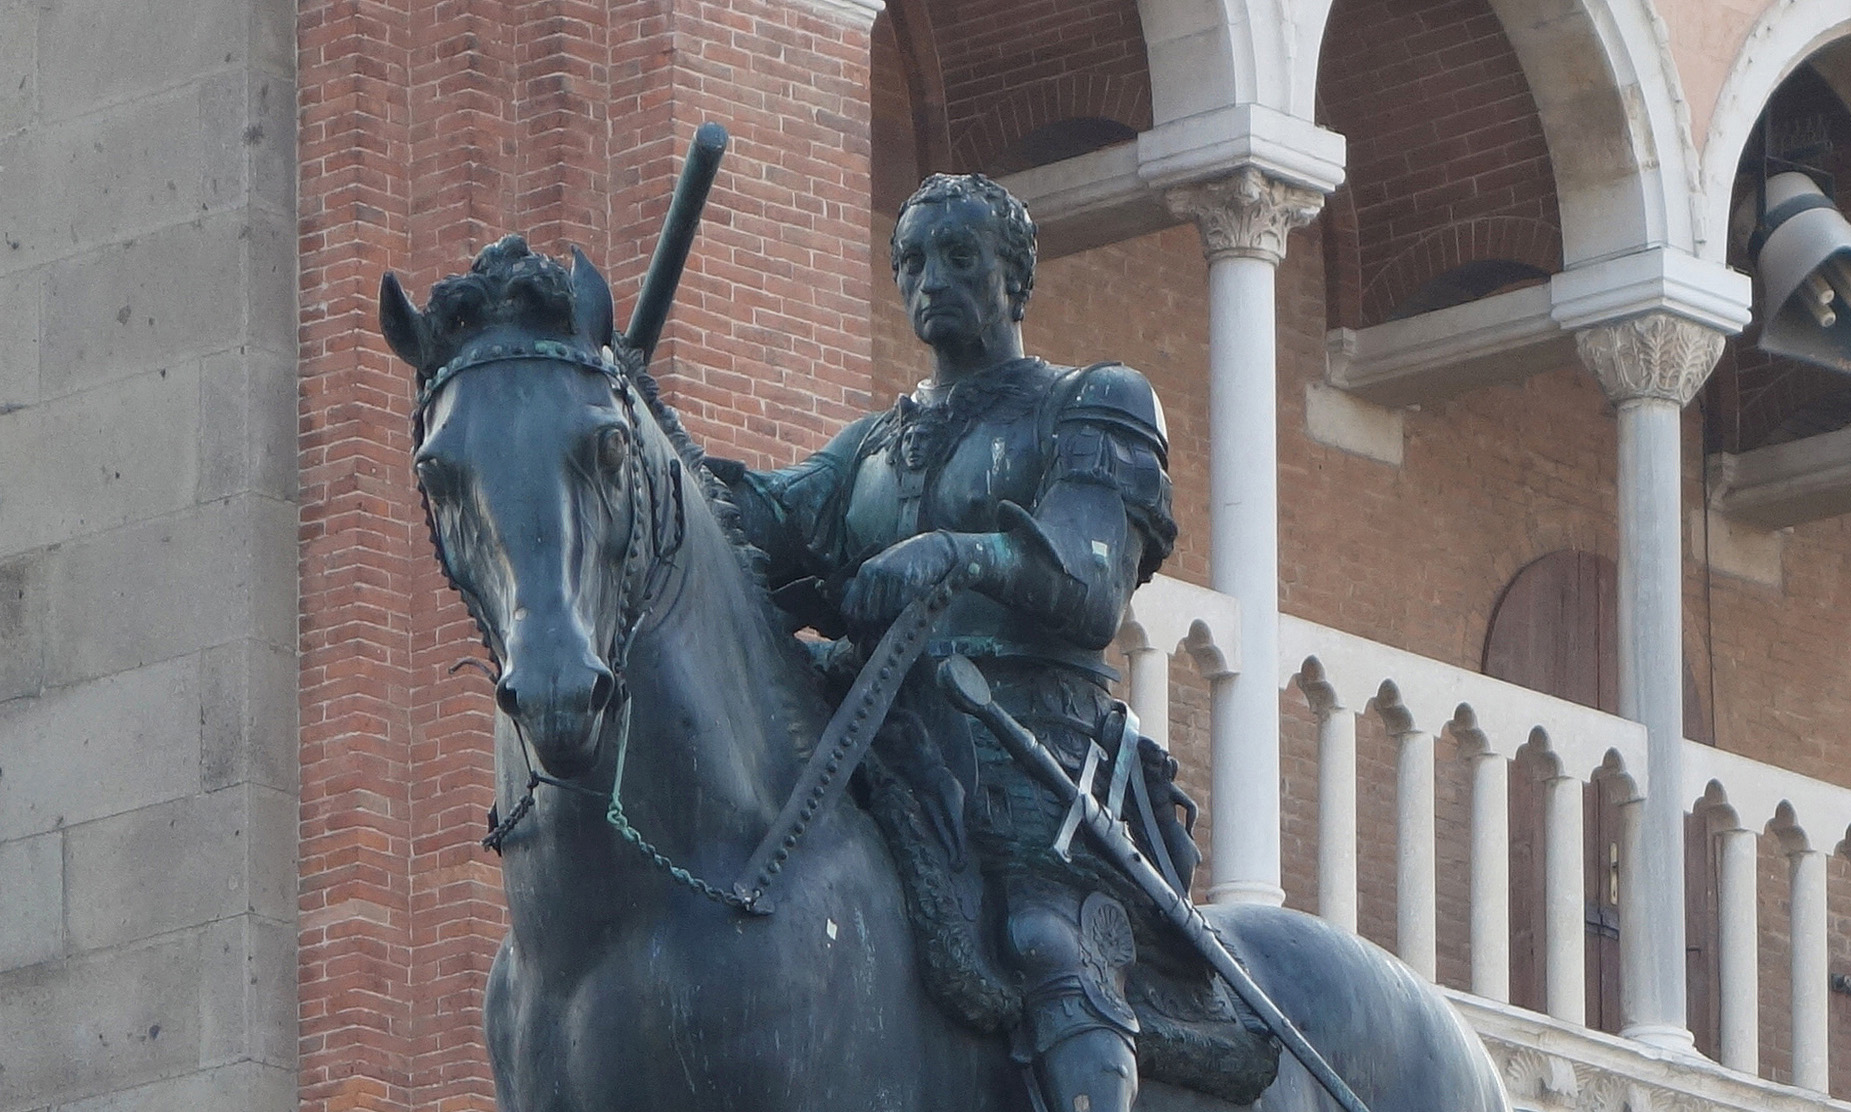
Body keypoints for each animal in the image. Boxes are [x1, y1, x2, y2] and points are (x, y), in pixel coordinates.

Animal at [379, 234, 1517, 1110]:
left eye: (608, 446)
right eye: (438, 470)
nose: (560, 690)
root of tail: (1454, 1032)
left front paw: (910, 567)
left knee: (1070, 983)